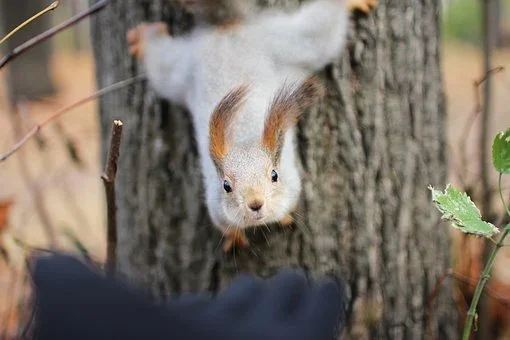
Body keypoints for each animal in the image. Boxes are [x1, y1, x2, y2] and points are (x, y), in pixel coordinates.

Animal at [125, 0, 376, 252]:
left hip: (287, 42)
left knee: (321, 31)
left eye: (274, 175)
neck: (243, 139)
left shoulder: (293, 184)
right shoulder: (216, 208)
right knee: (161, 61)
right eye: (226, 186)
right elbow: (226, 225)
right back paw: (143, 38)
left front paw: (284, 217)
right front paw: (235, 236)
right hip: (182, 70)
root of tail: (227, 29)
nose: (255, 203)